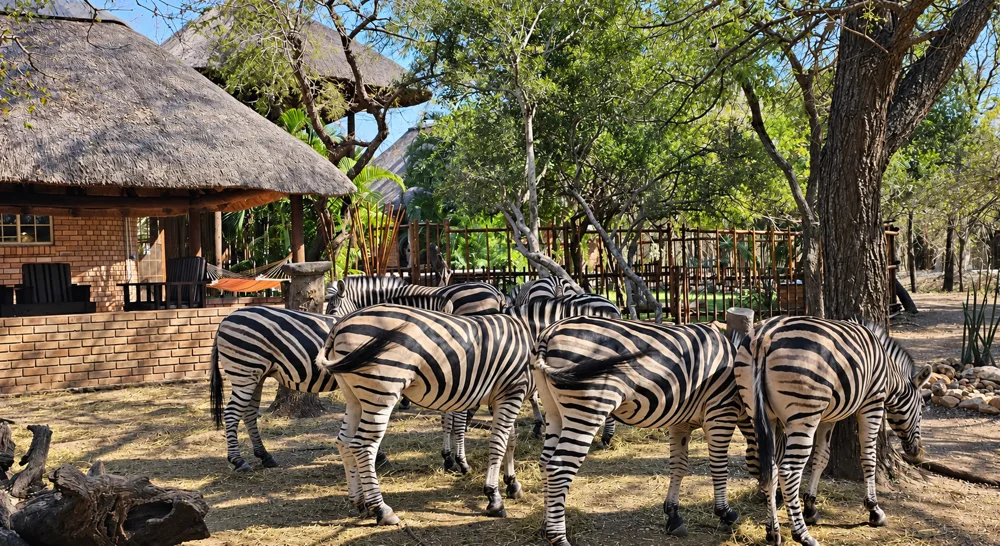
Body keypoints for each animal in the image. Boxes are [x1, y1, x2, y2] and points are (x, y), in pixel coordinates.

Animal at [209, 294, 453, 472]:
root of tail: (226, 319)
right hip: (245, 370)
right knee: (232, 413)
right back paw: (238, 461)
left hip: (255, 375)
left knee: (248, 413)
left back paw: (265, 456)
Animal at [316, 295, 621, 525]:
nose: (608, 441)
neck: (530, 335)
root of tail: (340, 325)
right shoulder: (512, 391)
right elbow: (498, 444)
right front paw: (494, 499)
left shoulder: (504, 395)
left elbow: (510, 440)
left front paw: (512, 484)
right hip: (382, 389)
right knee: (364, 446)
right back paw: (382, 510)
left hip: (354, 395)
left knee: (344, 442)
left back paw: (359, 502)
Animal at [531, 318, 744, 546]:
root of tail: (550, 332)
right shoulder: (721, 410)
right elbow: (719, 466)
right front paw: (725, 513)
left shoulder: (681, 422)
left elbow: (679, 466)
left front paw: (673, 516)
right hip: (586, 409)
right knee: (558, 468)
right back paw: (558, 537)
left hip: (555, 411)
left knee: (544, 463)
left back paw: (545, 527)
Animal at [734, 316, 931, 546]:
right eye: (922, 408)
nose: (916, 453)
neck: (889, 374)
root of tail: (764, 337)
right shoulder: (872, 404)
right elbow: (868, 457)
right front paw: (874, 510)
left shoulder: (828, 417)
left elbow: (822, 457)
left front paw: (811, 507)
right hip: (803, 416)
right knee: (788, 471)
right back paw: (802, 535)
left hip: (761, 413)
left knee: (770, 469)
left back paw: (773, 532)